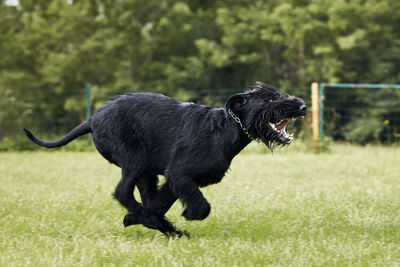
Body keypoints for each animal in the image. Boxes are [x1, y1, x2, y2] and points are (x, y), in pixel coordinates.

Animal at [24, 81, 306, 237]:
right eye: (271, 98)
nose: (302, 106)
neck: (226, 128)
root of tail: (92, 119)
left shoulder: (174, 180)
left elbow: (160, 203)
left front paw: (142, 220)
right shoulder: (180, 174)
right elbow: (201, 207)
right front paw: (175, 217)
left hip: (145, 172)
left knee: (142, 197)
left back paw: (161, 227)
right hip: (134, 160)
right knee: (122, 192)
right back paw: (157, 224)